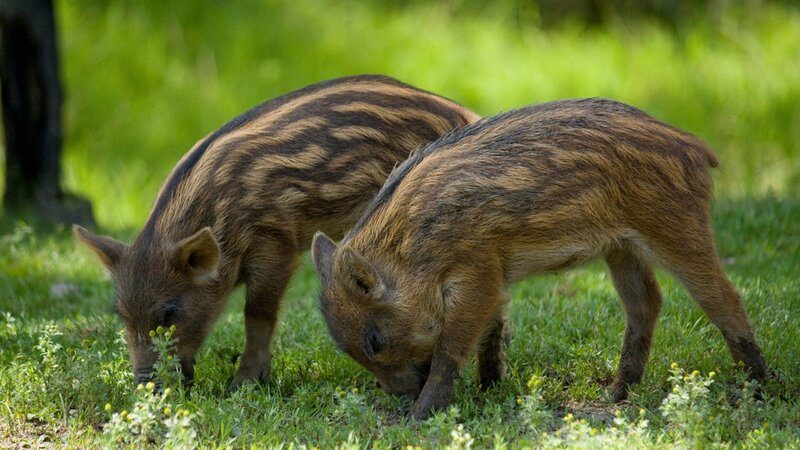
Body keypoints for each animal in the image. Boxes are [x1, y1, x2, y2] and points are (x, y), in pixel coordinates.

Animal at [73, 75, 480, 388]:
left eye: (169, 313)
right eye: (121, 314)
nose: (145, 387)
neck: (221, 216)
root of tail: (467, 114)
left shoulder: (275, 242)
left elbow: (257, 312)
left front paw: (245, 384)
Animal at [311, 98, 769, 419]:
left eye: (374, 340)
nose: (400, 398)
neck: (410, 245)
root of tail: (696, 147)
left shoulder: (477, 271)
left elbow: (451, 346)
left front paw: (422, 416)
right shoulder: (495, 277)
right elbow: (491, 333)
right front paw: (490, 391)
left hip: (677, 227)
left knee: (723, 297)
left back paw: (760, 388)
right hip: (621, 247)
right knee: (646, 303)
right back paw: (617, 394)